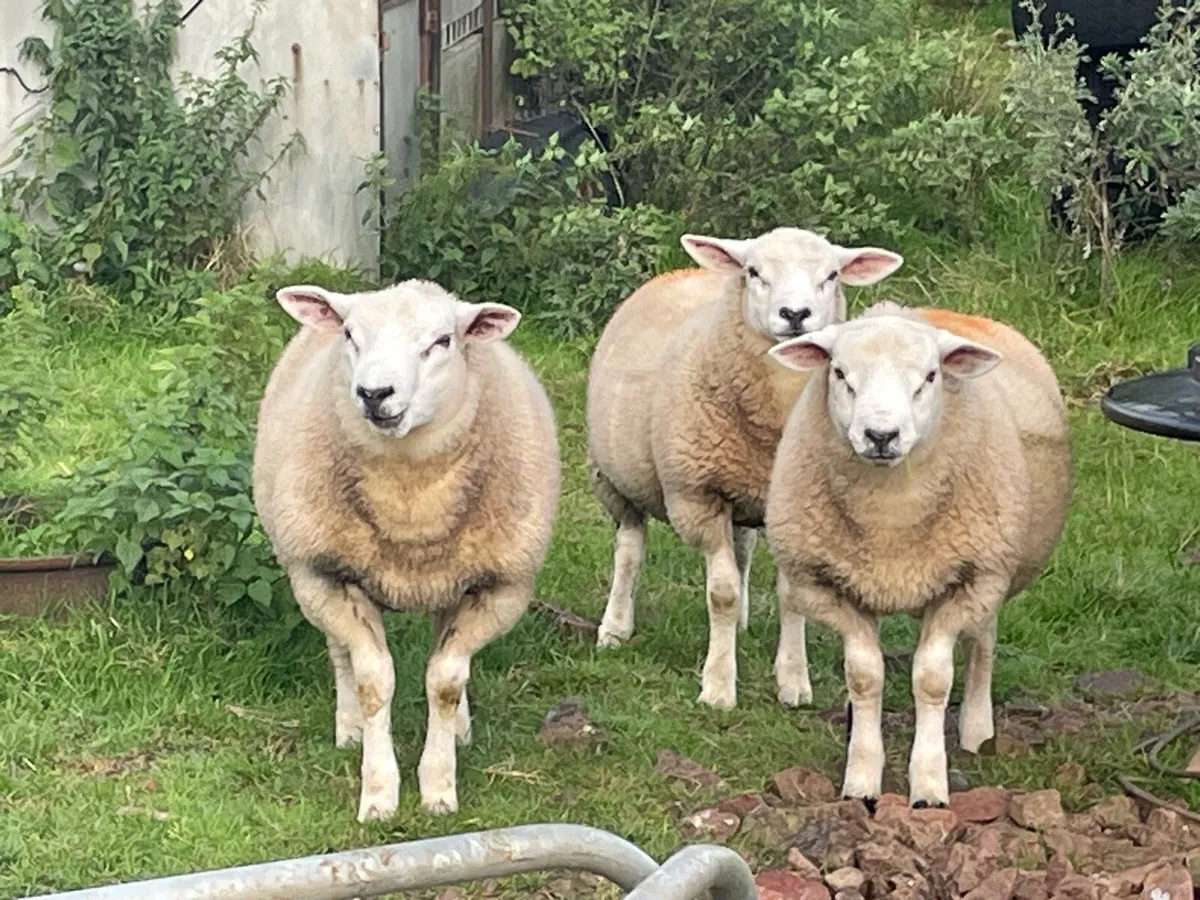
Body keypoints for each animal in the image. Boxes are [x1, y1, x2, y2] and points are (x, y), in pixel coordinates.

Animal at [253, 279, 560, 820]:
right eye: (350, 334)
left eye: (443, 341)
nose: (374, 394)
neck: (411, 504)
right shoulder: (324, 574)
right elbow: (373, 680)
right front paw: (379, 793)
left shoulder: (500, 588)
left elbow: (445, 680)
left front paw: (438, 785)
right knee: (340, 654)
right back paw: (350, 726)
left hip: (452, 576)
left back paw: (459, 728)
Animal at [586, 227, 903, 709]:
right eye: (754, 272)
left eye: (831, 275)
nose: (795, 314)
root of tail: (681, 271)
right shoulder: (699, 496)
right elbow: (721, 593)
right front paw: (718, 685)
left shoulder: (790, 507)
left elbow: (790, 596)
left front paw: (793, 680)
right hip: (616, 481)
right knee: (629, 551)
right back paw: (615, 627)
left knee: (741, 551)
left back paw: (739, 625)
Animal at [765, 303, 1071, 808]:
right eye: (840, 373)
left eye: (930, 376)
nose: (880, 435)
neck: (892, 519)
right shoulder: (833, 586)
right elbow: (864, 676)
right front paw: (861, 780)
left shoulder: (969, 579)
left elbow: (931, 679)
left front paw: (928, 786)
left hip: (992, 570)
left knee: (982, 641)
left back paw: (976, 730)